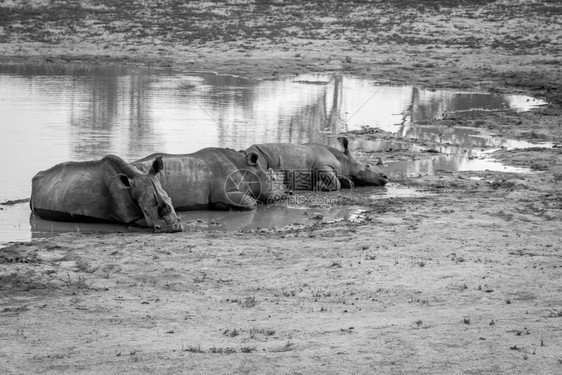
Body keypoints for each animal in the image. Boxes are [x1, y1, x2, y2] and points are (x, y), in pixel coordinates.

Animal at [132, 148, 284, 212]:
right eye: (272, 178)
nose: (284, 195)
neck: (246, 169)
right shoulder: (225, 192)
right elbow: (251, 202)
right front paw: (224, 206)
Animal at [247, 137, 388, 192]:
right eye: (367, 166)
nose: (386, 177)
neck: (344, 161)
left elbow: (344, 181)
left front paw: (347, 182)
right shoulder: (322, 166)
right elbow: (335, 182)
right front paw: (320, 186)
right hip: (256, 154)